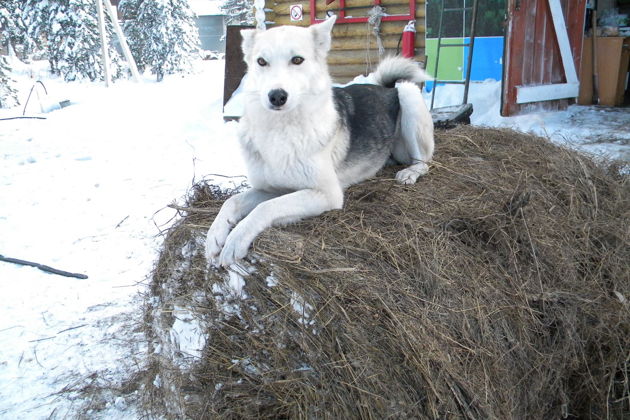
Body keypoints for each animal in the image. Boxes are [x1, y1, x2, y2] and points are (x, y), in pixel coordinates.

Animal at [207, 16, 434, 268]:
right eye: (261, 62)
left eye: (297, 60)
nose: (276, 96)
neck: (281, 129)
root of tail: (385, 88)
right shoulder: (271, 189)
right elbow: (232, 201)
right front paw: (215, 235)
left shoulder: (326, 194)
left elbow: (265, 207)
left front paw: (237, 238)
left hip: (408, 95)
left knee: (424, 162)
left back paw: (410, 173)